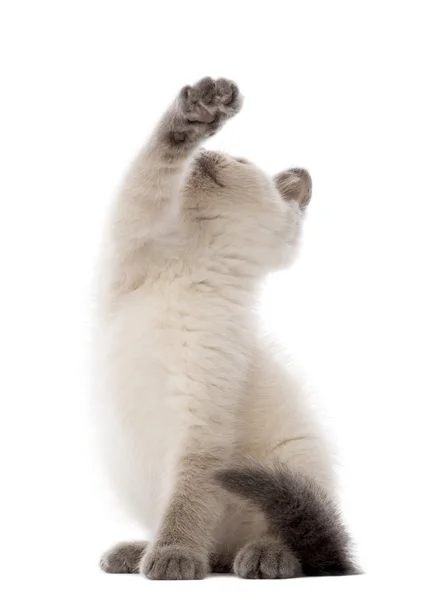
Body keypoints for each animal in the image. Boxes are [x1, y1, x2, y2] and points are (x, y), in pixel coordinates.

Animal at [95, 77, 358, 580]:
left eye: (240, 162)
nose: (208, 153)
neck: (193, 263)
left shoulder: (203, 422)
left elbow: (188, 502)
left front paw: (174, 556)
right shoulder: (134, 234)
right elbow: (153, 167)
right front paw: (198, 110)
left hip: (295, 459)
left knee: (298, 542)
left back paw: (263, 557)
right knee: (216, 548)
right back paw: (137, 552)